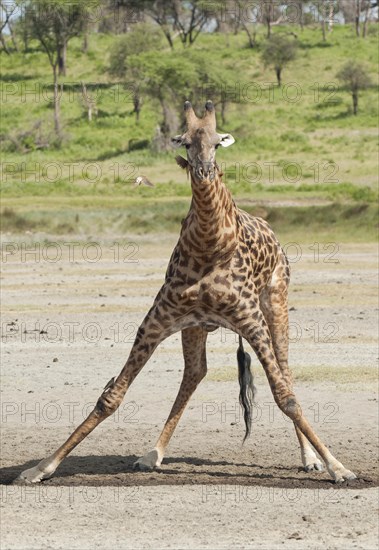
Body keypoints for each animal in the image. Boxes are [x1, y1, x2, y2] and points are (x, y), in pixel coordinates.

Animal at [17, 101, 356, 486]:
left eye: (218, 141)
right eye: (185, 141)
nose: (204, 169)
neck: (209, 244)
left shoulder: (251, 320)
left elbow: (286, 397)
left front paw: (337, 466)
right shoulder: (156, 320)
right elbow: (111, 397)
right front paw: (41, 467)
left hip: (276, 302)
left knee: (286, 371)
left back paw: (309, 458)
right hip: (195, 326)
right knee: (195, 372)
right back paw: (153, 454)